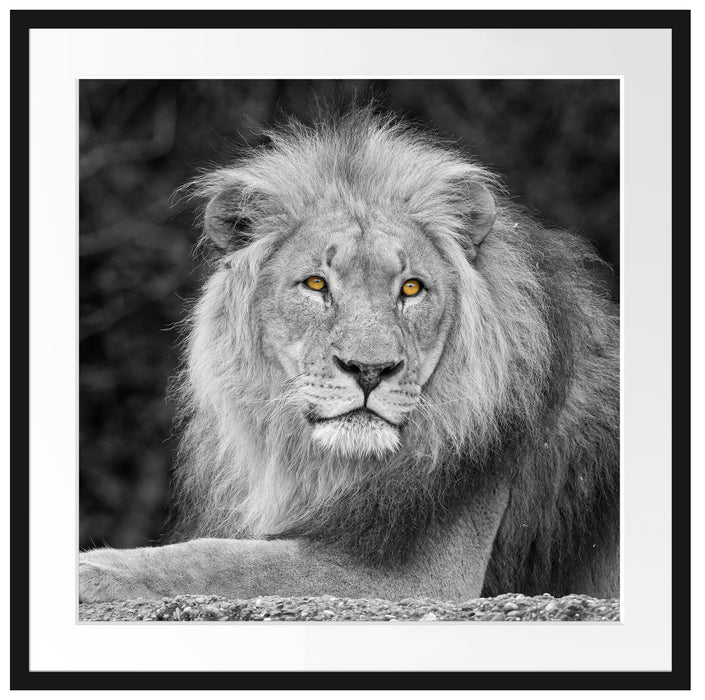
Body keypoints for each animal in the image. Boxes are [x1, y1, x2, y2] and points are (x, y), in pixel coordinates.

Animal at [79, 108, 620, 604]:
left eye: (411, 288)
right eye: (316, 284)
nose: (369, 370)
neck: (327, 467)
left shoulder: (425, 577)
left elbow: (224, 559)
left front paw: (95, 570)